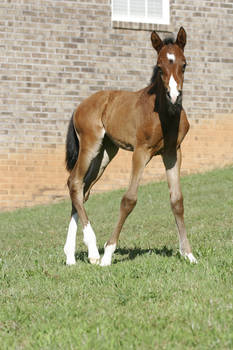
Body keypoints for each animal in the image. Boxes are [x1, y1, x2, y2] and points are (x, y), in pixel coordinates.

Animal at [63, 27, 197, 266]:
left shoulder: (173, 153)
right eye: (159, 66)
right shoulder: (141, 152)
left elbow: (177, 200)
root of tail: (79, 106)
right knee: (75, 182)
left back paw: (71, 255)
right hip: (90, 146)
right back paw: (94, 252)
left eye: (184, 64)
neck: (164, 115)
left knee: (82, 190)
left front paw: (188, 254)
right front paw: (108, 254)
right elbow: (129, 199)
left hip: (105, 153)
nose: (174, 96)